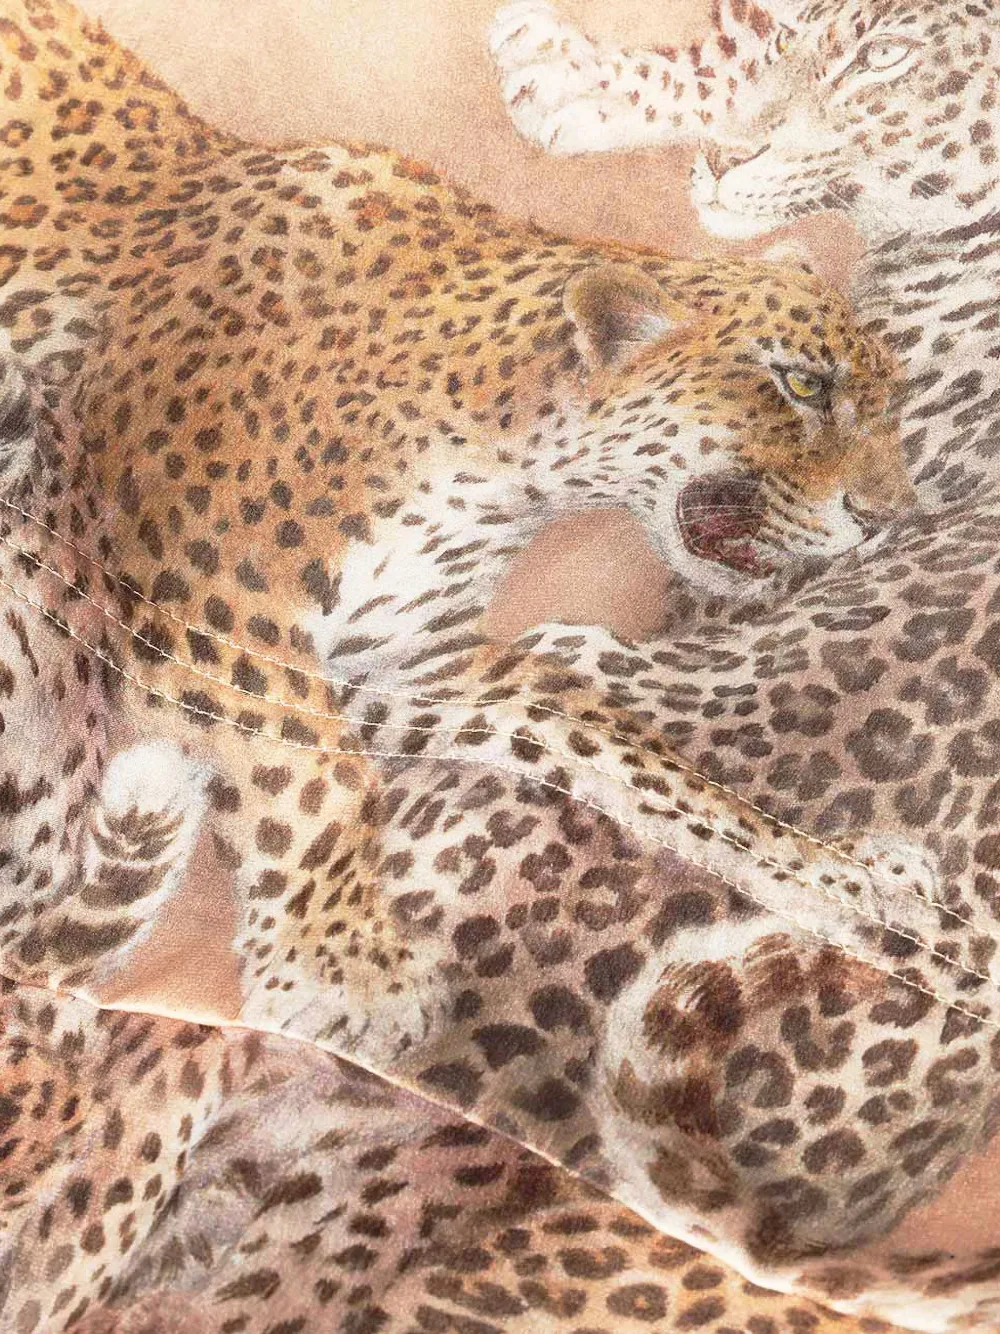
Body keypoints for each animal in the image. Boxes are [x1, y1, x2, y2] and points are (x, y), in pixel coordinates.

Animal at [2, 0, 1000, 1331]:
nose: (897, 513)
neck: (513, 445)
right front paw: (346, 970)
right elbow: (319, 775)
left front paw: (852, 882)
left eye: (887, 402)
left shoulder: (407, 667)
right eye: (802, 385)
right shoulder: (201, 590)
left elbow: (606, 740)